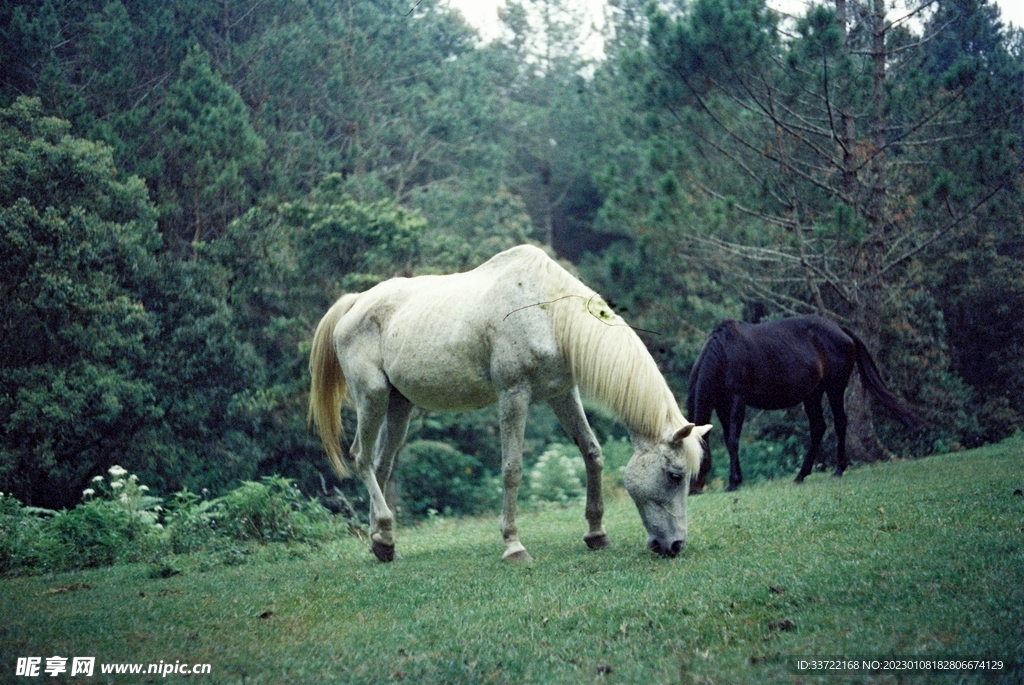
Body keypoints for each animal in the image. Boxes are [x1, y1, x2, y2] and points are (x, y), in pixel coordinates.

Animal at [308, 245, 711, 562]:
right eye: (675, 476)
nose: (675, 545)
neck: (548, 312)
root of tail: (355, 302)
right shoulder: (513, 395)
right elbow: (512, 469)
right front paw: (514, 545)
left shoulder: (562, 393)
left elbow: (592, 452)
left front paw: (596, 534)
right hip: (372, 397)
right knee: (361, 458)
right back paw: (384, 532)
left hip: (399, 407)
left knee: (381, 464)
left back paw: (382, 541)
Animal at [686, 315, 923, 493]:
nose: (692, 490)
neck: (724, 354)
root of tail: (840, 329)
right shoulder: (722, 405)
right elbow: (729, 440)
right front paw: (736, 479)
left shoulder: (737, 401)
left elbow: (733, 440)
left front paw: (733, 482)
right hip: (812, 395)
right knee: (818, 428)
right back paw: (801, 475)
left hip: (834, 388)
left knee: (840, 423)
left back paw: (838, 470)